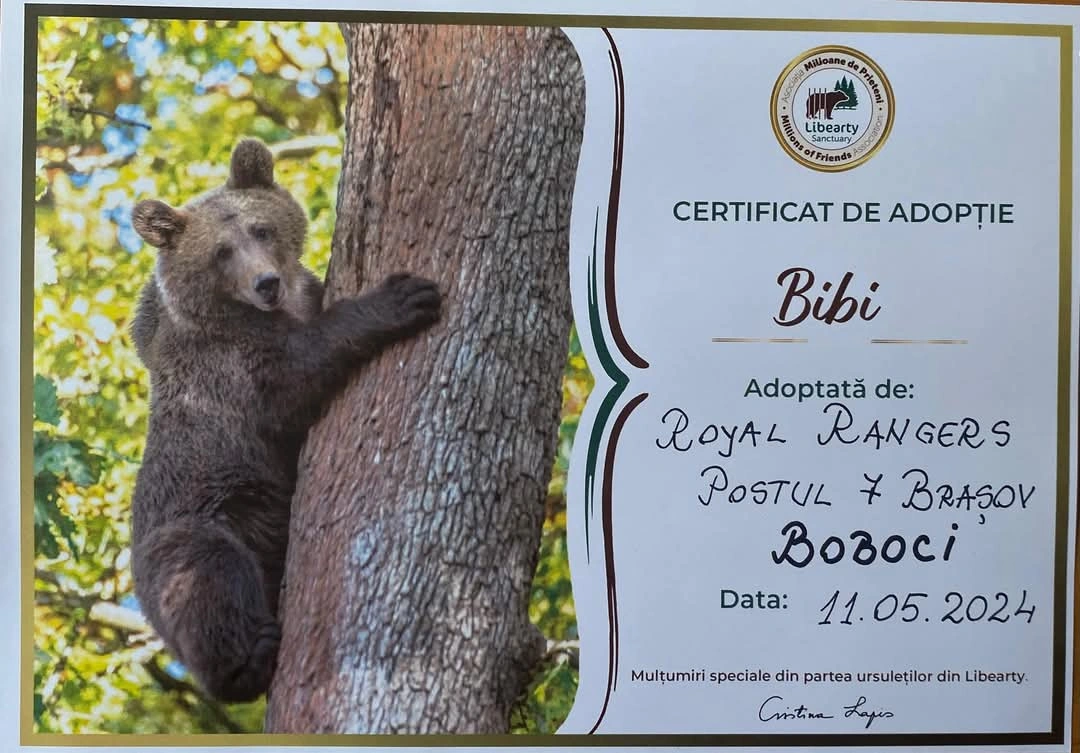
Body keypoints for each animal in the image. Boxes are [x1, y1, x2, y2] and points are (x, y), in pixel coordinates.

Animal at [128, 138, 442, 703]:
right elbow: (298, 370)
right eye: (220, 252)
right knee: (206, 575)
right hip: (198, 520)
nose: (267, 283)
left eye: (261, 229)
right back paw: (246, 661)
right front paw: (403, 297)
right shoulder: (230, 370)